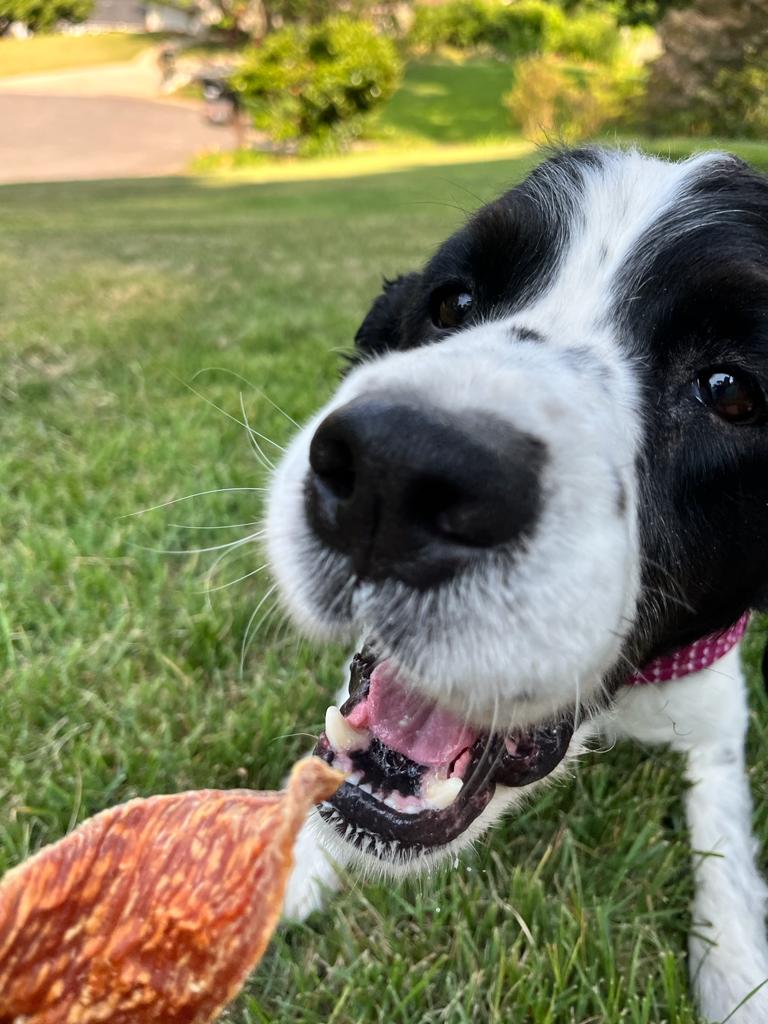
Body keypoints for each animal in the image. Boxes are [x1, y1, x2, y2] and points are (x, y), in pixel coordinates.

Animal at [264, 146, 768, 1024]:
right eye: (453, 302)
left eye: (728, 390)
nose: (393, 472)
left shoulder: (715, 716)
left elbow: (724, 836)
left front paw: (739, 973)